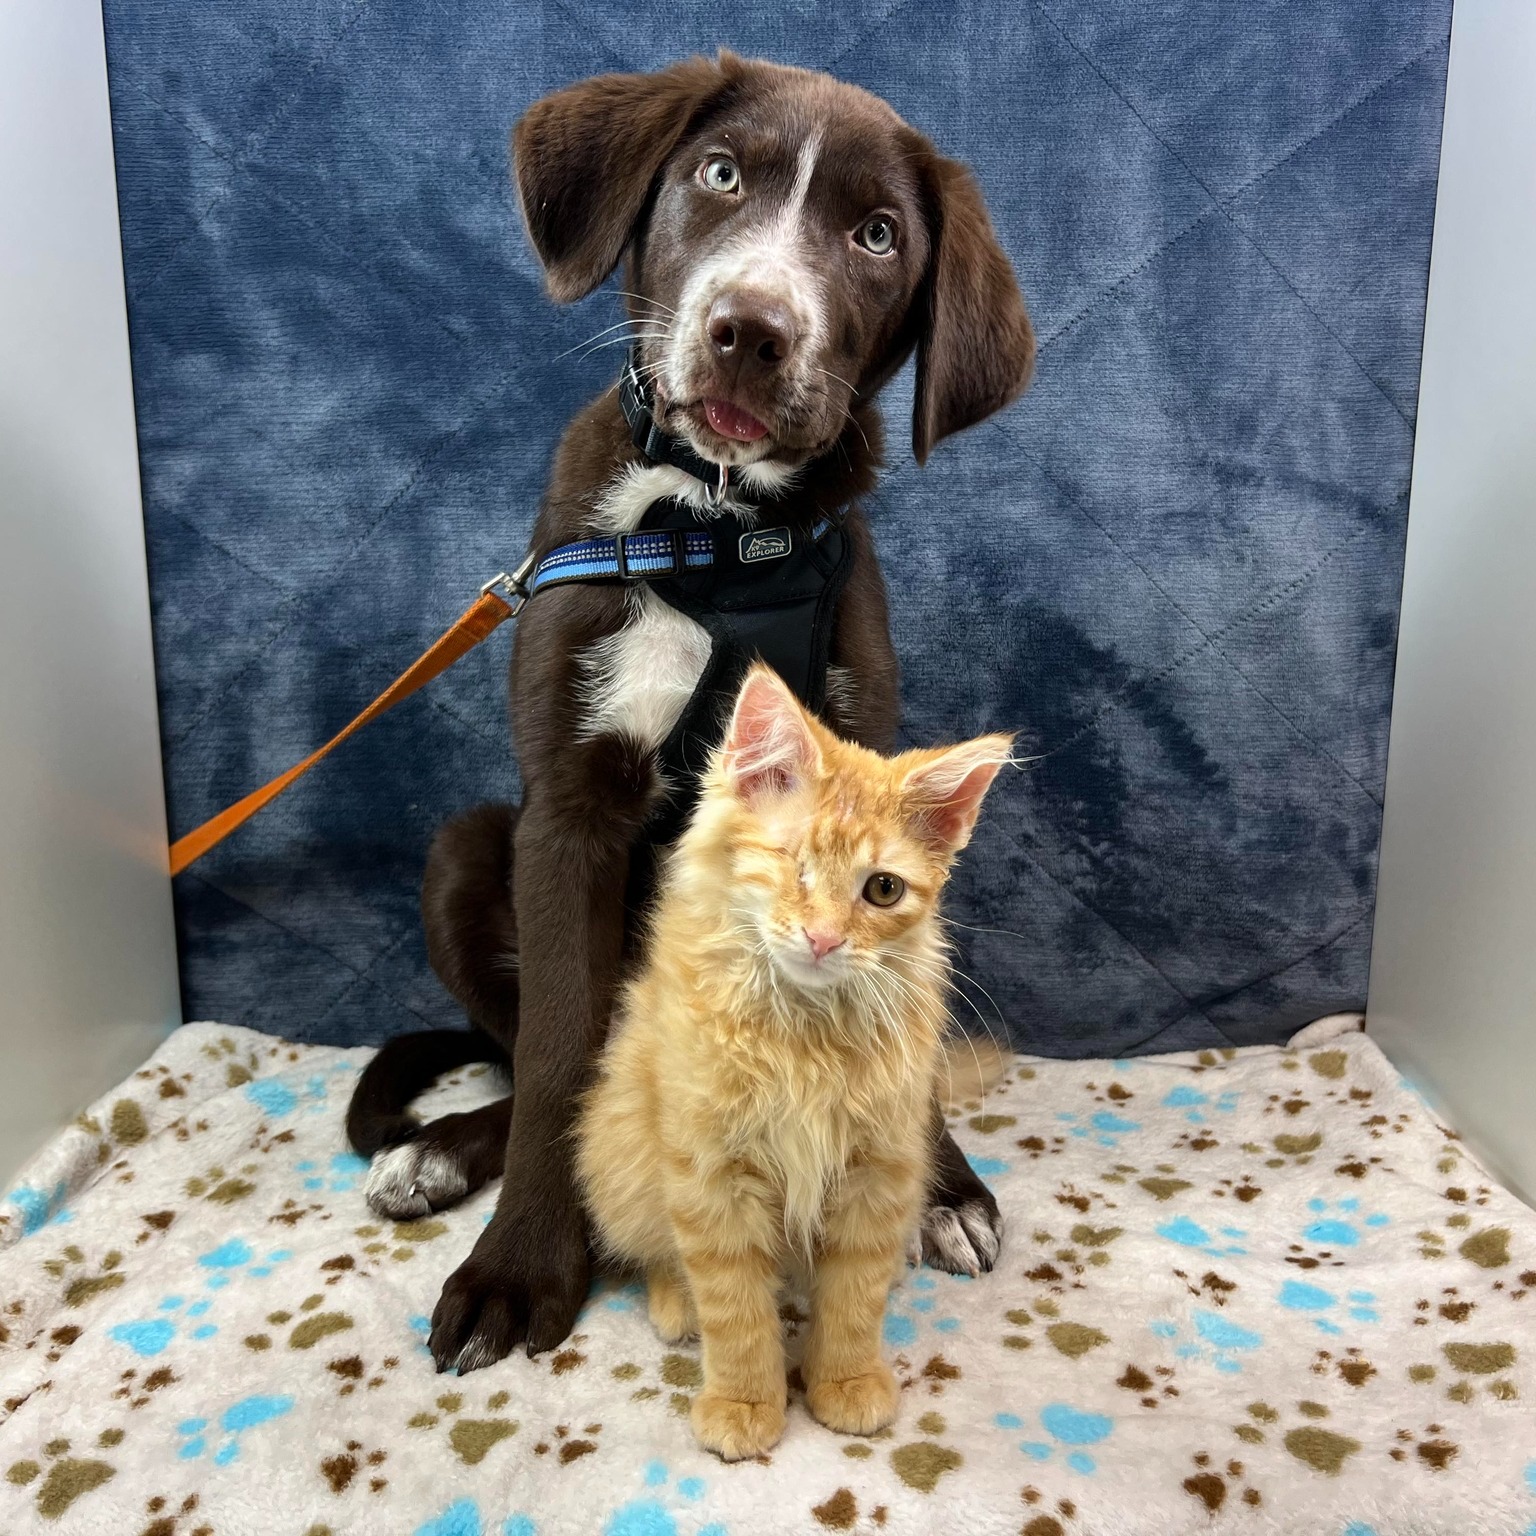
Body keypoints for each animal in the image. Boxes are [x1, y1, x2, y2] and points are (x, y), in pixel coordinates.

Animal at [345, 48, 1032, 1376]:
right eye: (719, 174)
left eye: (877, 235)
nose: (751, 332)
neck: (719, 532)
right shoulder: (568, 813)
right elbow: (561, 1054)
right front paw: (521, 1268)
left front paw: (936, 1187)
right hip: (466, 848)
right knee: (530, 1050)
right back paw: (440, 1155)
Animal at [577, 666, 1007, 1456]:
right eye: (794, 866)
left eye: (882, 889)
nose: (824, 938)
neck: (804, 1037)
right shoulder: (711, 1171)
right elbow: (734, 1304)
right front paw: (744, 1403)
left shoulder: (877, 1169)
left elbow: (853, 1296)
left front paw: (845, 1382)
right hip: (620, 1151)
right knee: (654, 1246)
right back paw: (674, 1302)